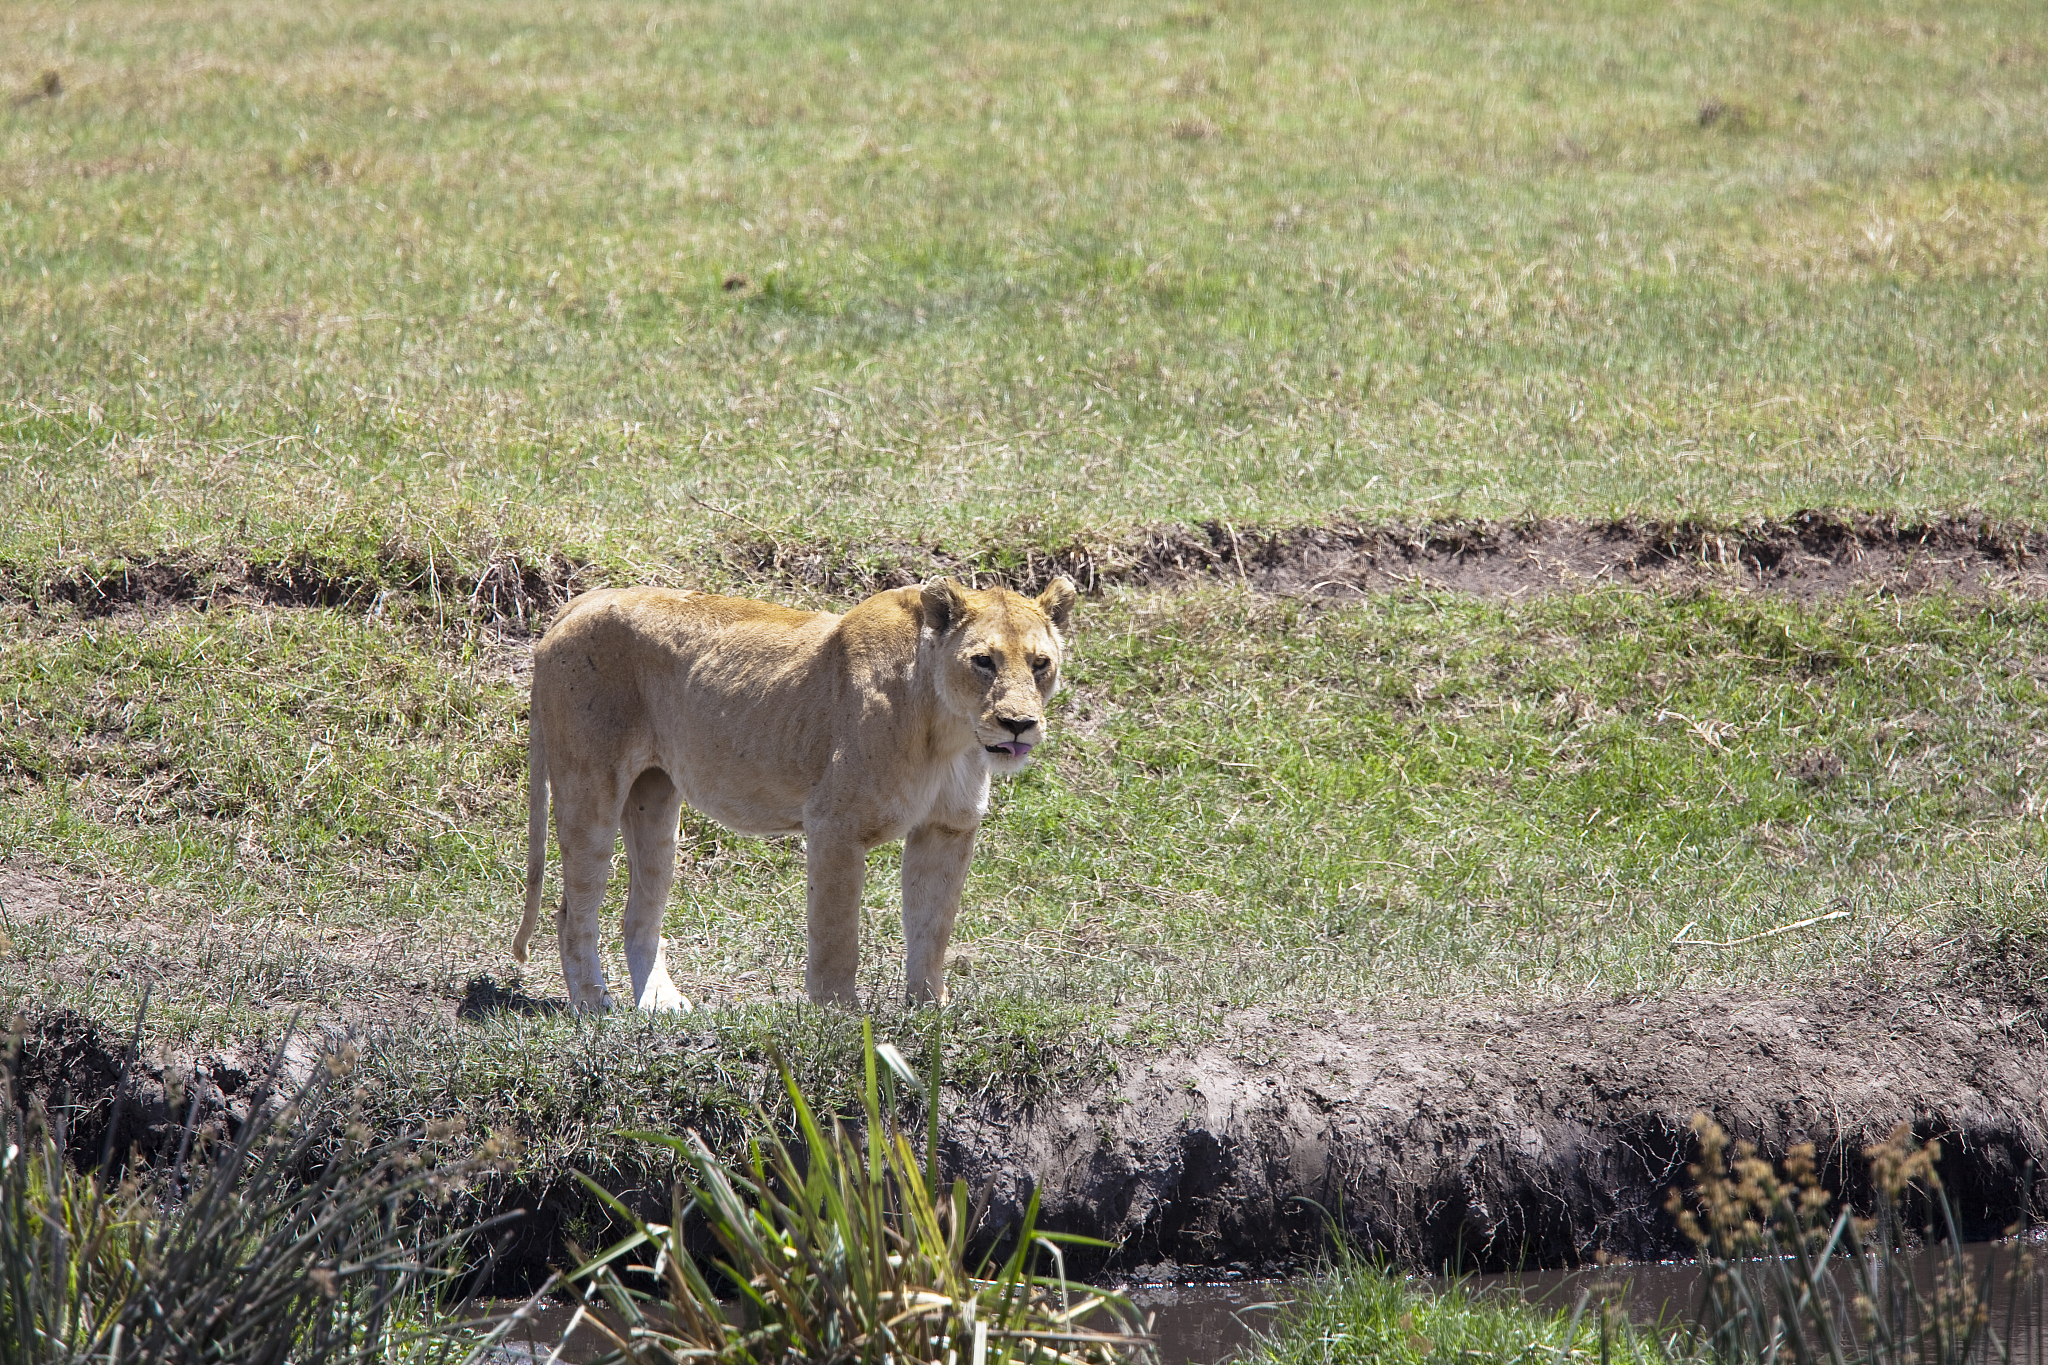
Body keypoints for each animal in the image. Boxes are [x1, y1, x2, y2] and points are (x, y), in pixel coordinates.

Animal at [511, 575, 1079, 1011]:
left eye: (1040, 664)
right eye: (983, 661)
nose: (1018, 724)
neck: (950, 733)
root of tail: (579, 602)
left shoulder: (946, 828)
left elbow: (932, 927)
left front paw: (929, 1010)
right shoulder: (835, 825)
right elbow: (836, 932)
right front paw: (839, 1016)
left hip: (656, 798)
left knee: (640, 913)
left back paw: (660, 1004)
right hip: (590, 783)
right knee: (573, 910)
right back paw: (592, 1004)